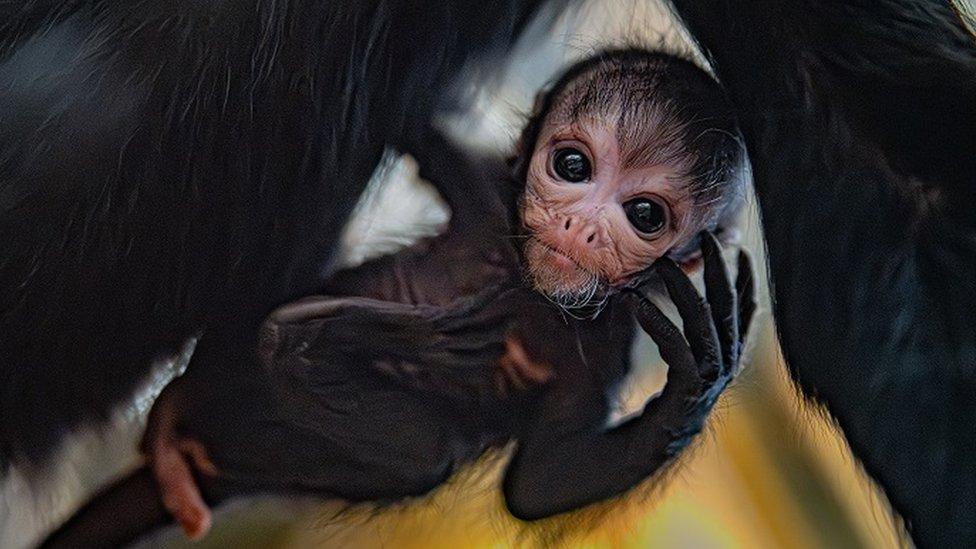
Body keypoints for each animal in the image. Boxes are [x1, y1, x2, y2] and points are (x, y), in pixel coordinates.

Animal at [43, 49, 756, 544]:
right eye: (573, 166)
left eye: (644, 215)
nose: (580, 227)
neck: (526, 284)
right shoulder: (485, 190)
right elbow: (408, 123)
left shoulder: (612, 341)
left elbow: (538, 485)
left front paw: (697, 381)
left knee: (423, 454)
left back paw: (313, 343)